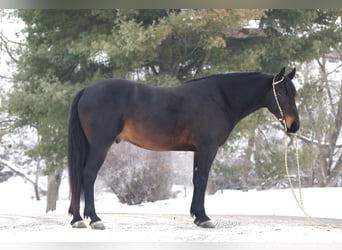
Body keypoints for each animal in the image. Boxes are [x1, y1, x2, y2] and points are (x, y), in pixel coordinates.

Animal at [67, 66, 300, 229]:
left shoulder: (198, 151)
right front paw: (204, 218)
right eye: (281, 93)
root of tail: (86, 90)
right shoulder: (208, 148)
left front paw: (197, 216)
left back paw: (77, 219)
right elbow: (202, 180)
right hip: (100, 146)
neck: (220, 99)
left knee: (78, 177)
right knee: (88, 175)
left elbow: (196, 180)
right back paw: (94, 219)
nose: (294, 125)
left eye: (294, 94)